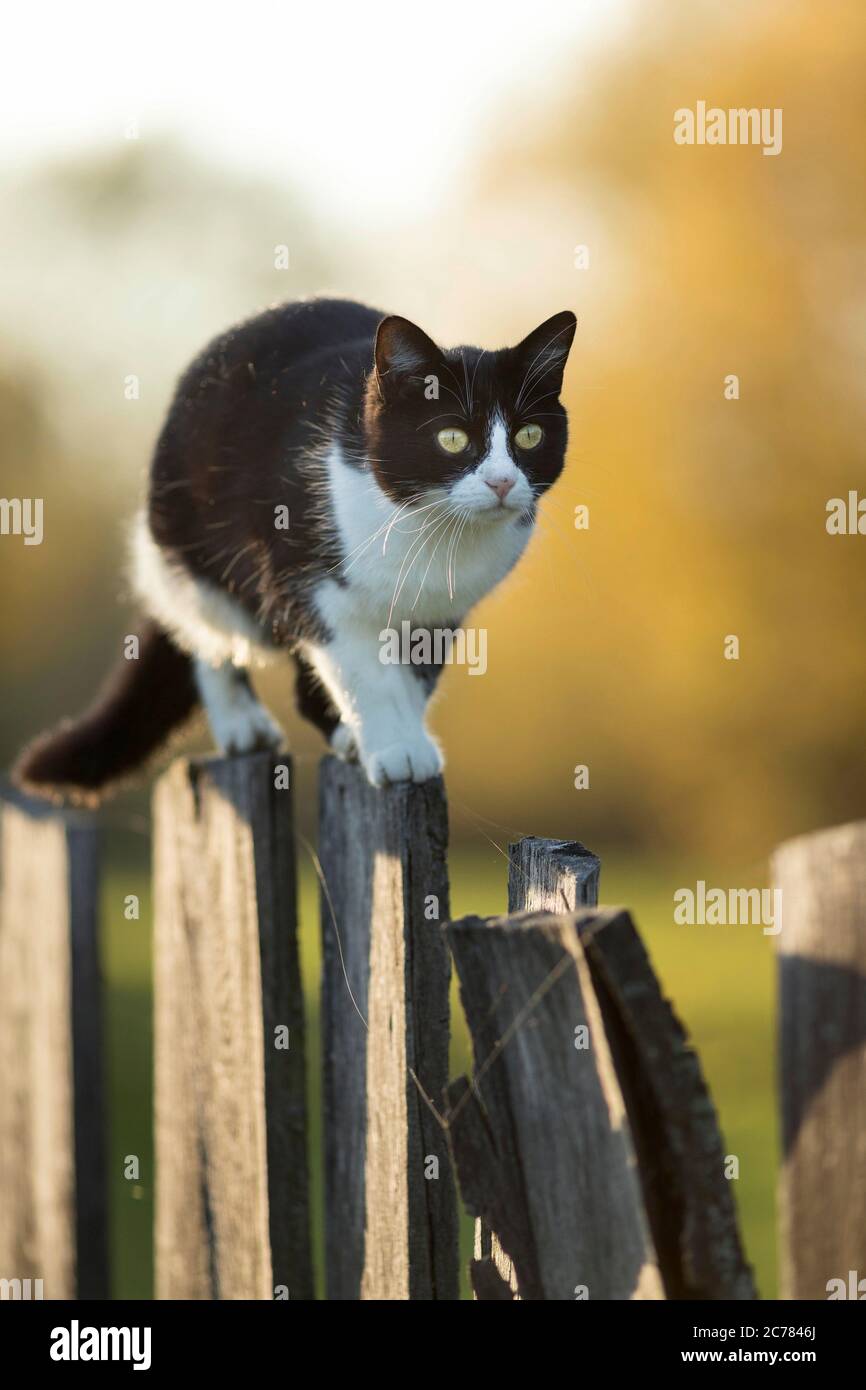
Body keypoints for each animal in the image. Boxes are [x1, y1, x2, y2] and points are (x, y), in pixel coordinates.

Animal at [15, 301, 575, 806]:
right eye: (453, 438)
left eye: (529, 434)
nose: (502, 482)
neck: (433, 531)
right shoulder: (310, 584)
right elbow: (364, 674)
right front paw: (394, 749)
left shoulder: (439, 614)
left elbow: (413, 679)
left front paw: (397, 737)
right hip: (189, 552)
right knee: (203, 631)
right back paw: (242, 723)